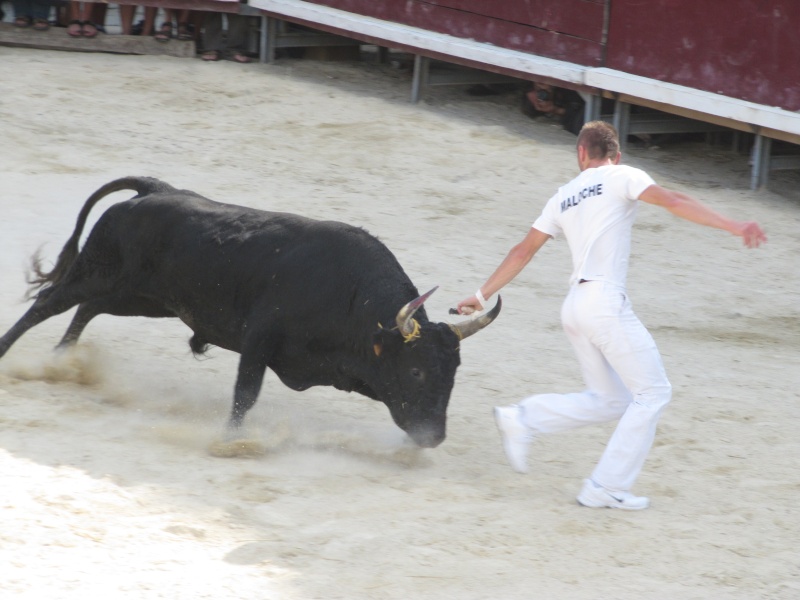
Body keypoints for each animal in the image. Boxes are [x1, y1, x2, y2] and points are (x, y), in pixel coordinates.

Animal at [0, 176, 500, 448]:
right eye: (416, 372)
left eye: (453, 373)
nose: (434, 437)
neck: (350, 300)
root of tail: (155, 189)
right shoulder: (260, 339)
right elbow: (246, 394)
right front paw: (228, 441)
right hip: (99, 271)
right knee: (49, 303)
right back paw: (12, 354)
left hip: (140, 299)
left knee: (86, 308)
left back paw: (62, 361)